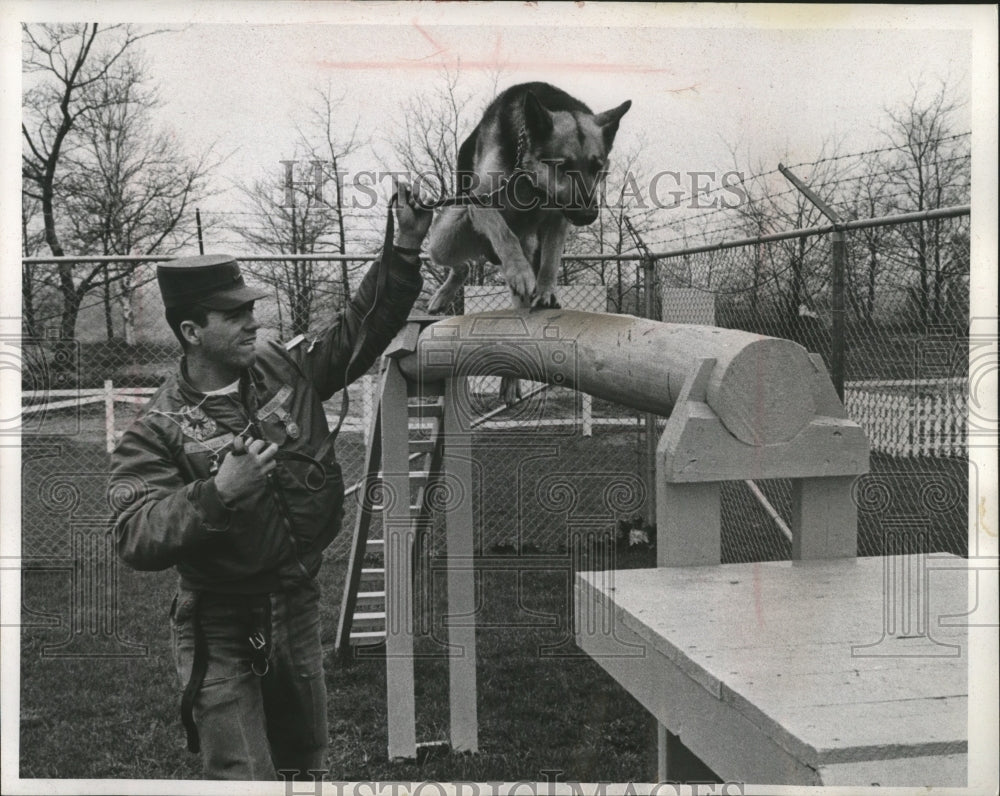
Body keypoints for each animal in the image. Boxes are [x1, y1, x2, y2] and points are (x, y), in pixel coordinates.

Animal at [424, 83, 628, 404]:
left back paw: (510, 380)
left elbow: (551, 260)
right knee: (463, 265)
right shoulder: (482, 202)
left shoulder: (558, 218)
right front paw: (520, 272)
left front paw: (545, 290)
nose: (588, 215)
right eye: (563, 166)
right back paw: (445, 294)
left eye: (597, 167)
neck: (529, 180)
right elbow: (503, 233)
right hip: (444, 238)